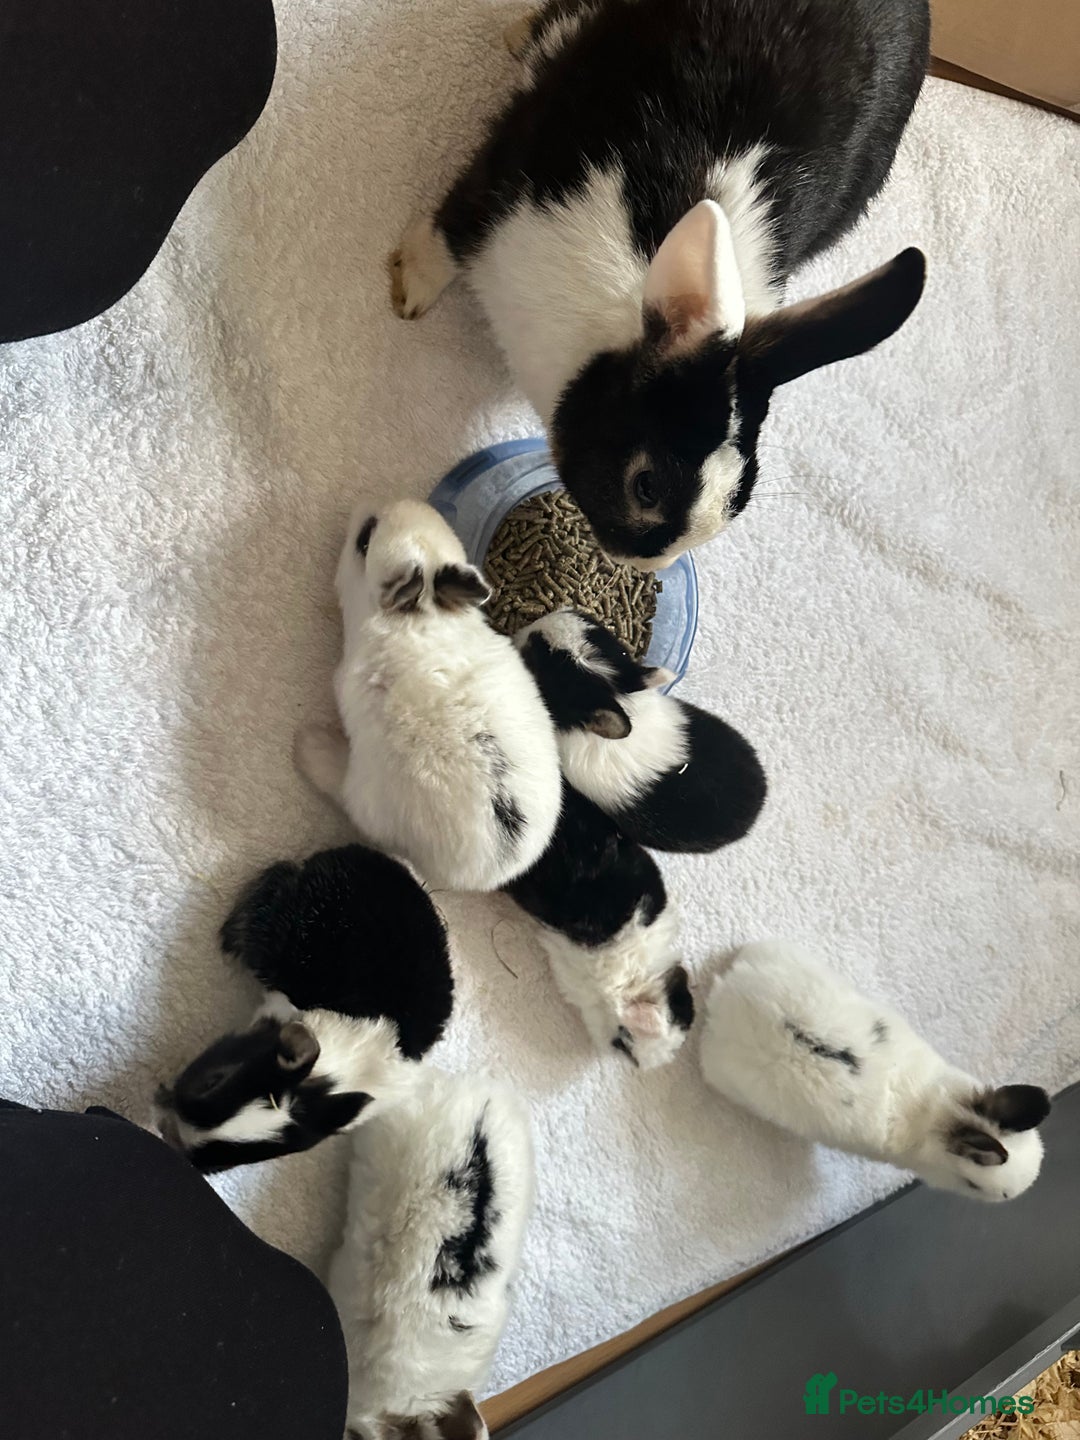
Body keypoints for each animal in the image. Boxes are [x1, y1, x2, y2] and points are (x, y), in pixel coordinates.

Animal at [295, 499, 562, 892]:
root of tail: (489, 872)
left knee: (341, 788)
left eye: (364, 542)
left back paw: (308, 745)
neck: (418, 619)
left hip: (365, 791)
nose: (364, 508)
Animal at [391, 0, 929, 567]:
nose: (641, 564)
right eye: (645, 487)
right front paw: (409, 292)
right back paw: (519, 38)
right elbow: (449, 235)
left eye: (741, 499)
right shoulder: (508, 175)